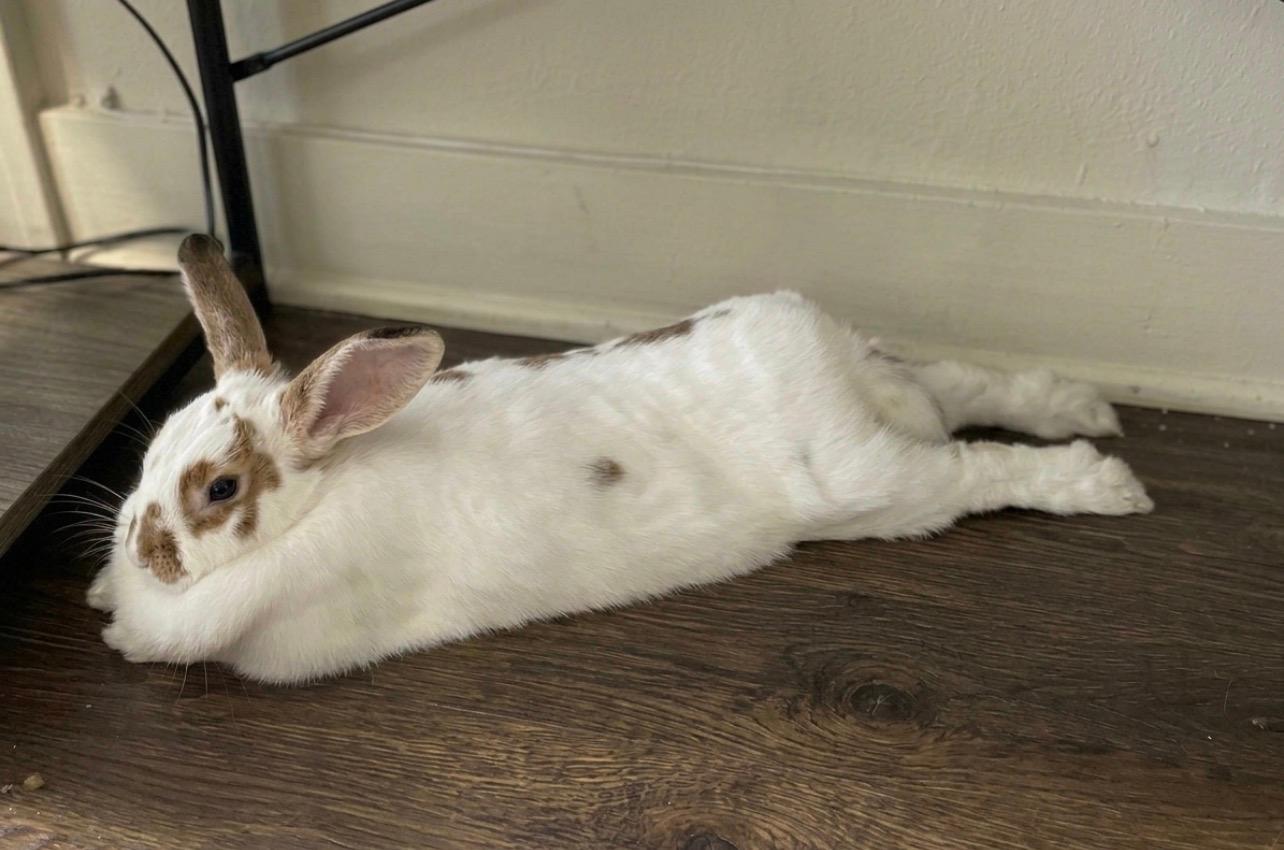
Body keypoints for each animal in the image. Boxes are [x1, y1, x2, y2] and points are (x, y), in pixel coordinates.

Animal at [88, 235, 1152, 684]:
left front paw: (121, 631)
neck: (325, 492)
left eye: (221, 488)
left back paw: (1107, 482)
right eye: (150, 452)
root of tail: (853, 388)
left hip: (883, 488)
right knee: (960, 382)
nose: (143, 552)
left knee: (979, 470)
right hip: (886, 389)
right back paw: (1083, 403)